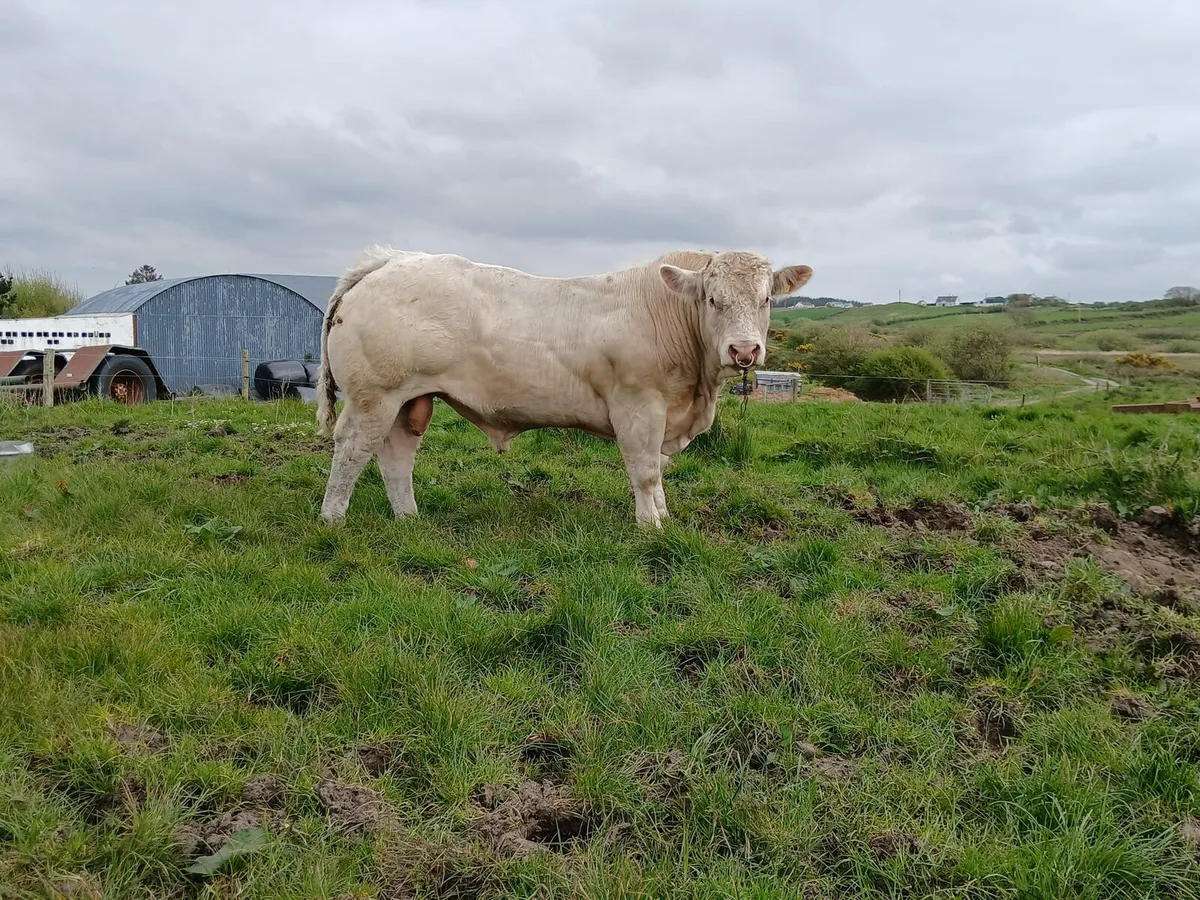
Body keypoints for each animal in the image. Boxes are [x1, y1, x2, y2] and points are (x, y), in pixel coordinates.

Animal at [315, 247, 812, 527]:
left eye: (766, 298)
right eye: (713, 298)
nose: (744, 350)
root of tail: (391, 260)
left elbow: (658, 471)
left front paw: (664, 515)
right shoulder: (638, 406)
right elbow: (645, 470)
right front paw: (650, 526)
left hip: (409, 398)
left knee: (396, 454)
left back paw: (409, 518)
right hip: (375, 395)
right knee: (353, 448)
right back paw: (333, 519)